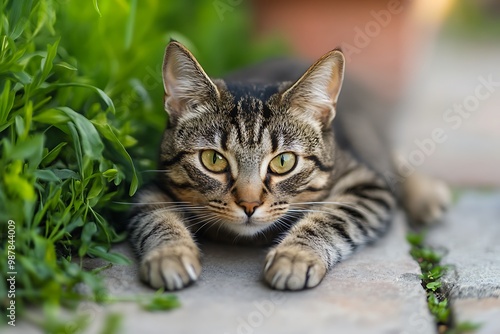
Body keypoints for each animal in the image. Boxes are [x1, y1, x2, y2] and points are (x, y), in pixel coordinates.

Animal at [128, 40, 450, 290]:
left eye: (283, 161)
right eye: (213, 160)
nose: (249, 204)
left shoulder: (365, 182)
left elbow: (332, 217)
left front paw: (294, 256)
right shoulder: (151, 187)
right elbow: (156, 216)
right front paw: (169, 255)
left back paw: (426, 195)